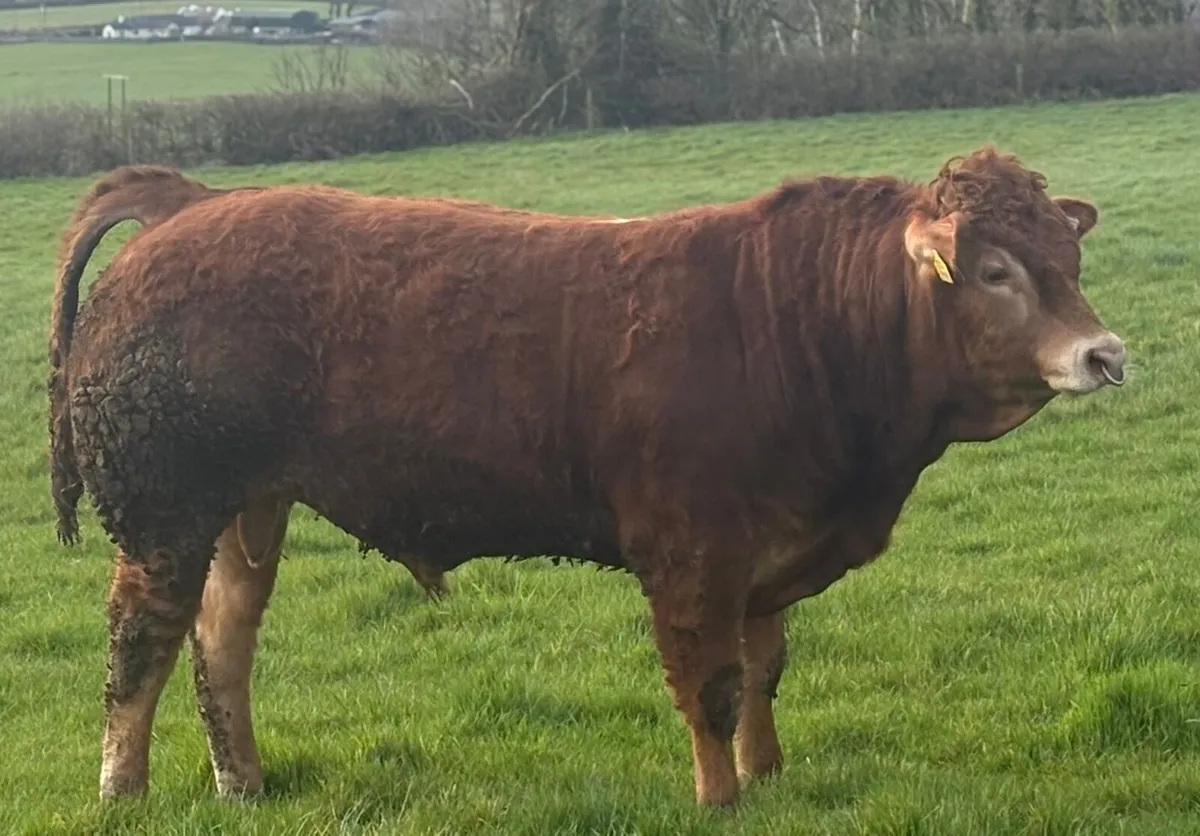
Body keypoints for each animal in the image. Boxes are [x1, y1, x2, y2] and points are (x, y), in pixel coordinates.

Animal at [48, 147, 1126, 808]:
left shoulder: (768, 551)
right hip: (163, 511)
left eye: (1067, 257)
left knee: (220, 641)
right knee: (139, 644)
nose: (1105, 353)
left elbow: (764, 670)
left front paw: (770, 776)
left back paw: (244, 782)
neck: (800, 322)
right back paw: (124, 789)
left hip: (247, 509)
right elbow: (711, 683)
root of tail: (195, 202)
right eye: (994, 270)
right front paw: (722, 796)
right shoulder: (693, 553)